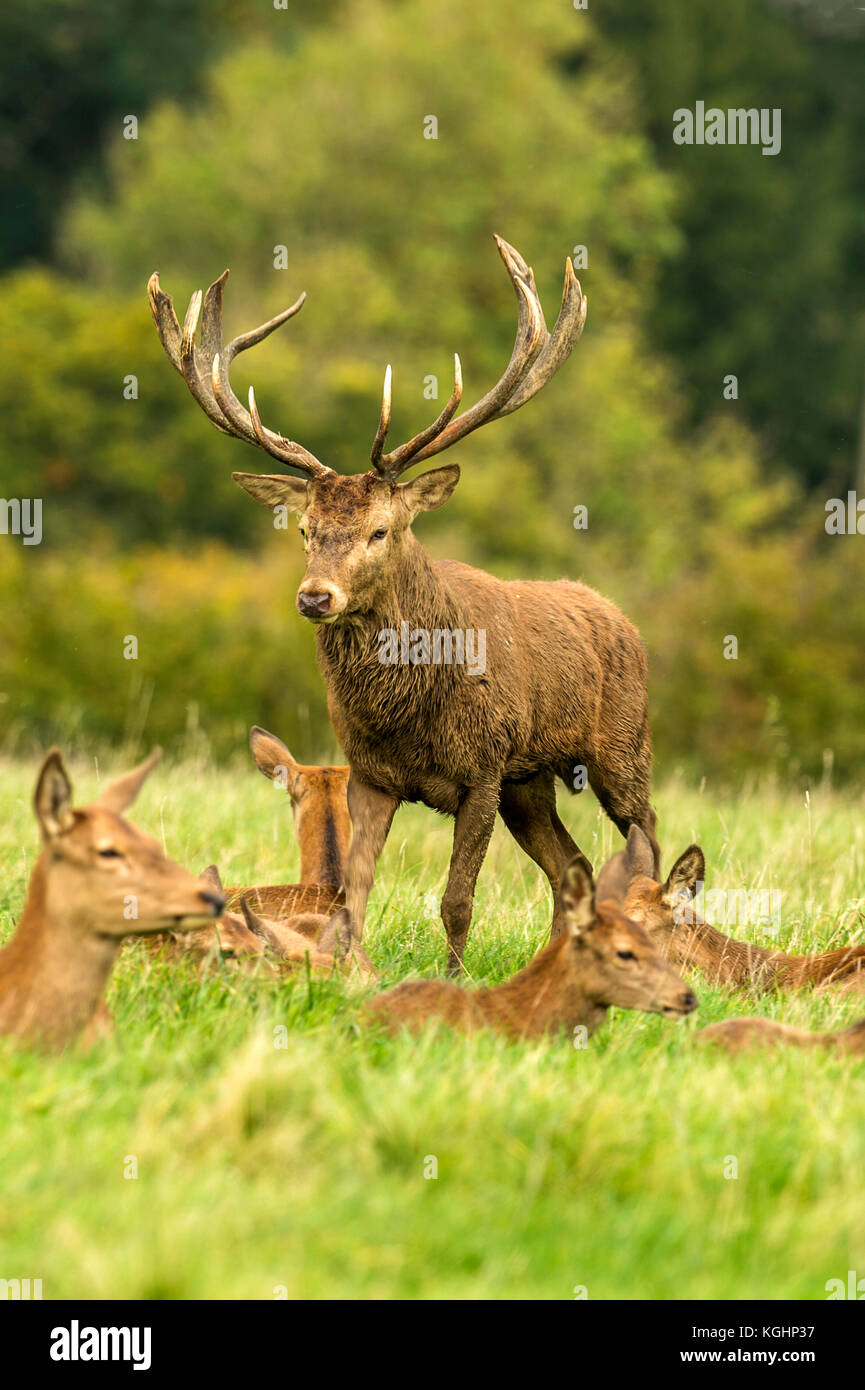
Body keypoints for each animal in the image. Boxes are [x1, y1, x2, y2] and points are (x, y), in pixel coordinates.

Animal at [149, 236, 661, 975]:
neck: (409, 713)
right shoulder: (373, 774)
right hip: (530, 782)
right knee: (574, 862)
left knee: (646, 836)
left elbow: (457, 901)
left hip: (622, 745)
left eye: (380, 530)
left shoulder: (482, 769)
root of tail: (619, 617)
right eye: (304, 529)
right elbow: (352, 890)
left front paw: (454, 980)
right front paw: (348, 968)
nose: (314, 596)